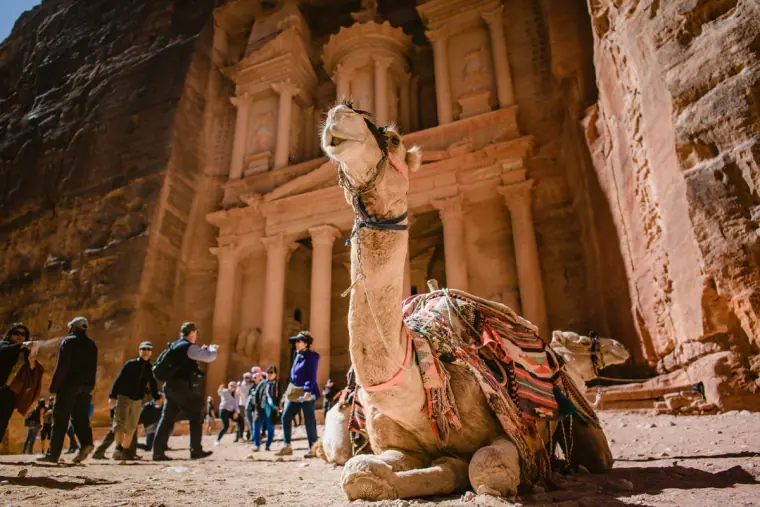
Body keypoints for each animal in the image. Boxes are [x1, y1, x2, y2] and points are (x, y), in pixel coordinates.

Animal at [321, 102, 613, 500]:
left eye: (394, 138)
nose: (341, 112)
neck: (420, 382)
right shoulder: (398, 446)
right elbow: (361, 472)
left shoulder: (510, 435)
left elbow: (486, 470)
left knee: (599, 454)